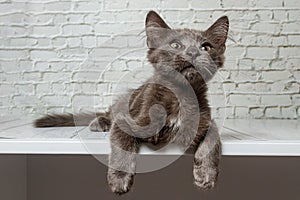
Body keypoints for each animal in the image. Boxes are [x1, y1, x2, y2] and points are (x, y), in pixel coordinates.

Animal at [34, 10, 229, 194]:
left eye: (206, 47)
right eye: (175, 45)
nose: (193, 52)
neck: (181, 95)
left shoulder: (206, 120)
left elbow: (213, 137)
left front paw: (206, 174)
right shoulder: (128, 121)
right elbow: (123, 144)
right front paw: (119, 179)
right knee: (108, 114)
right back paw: (100, 122)